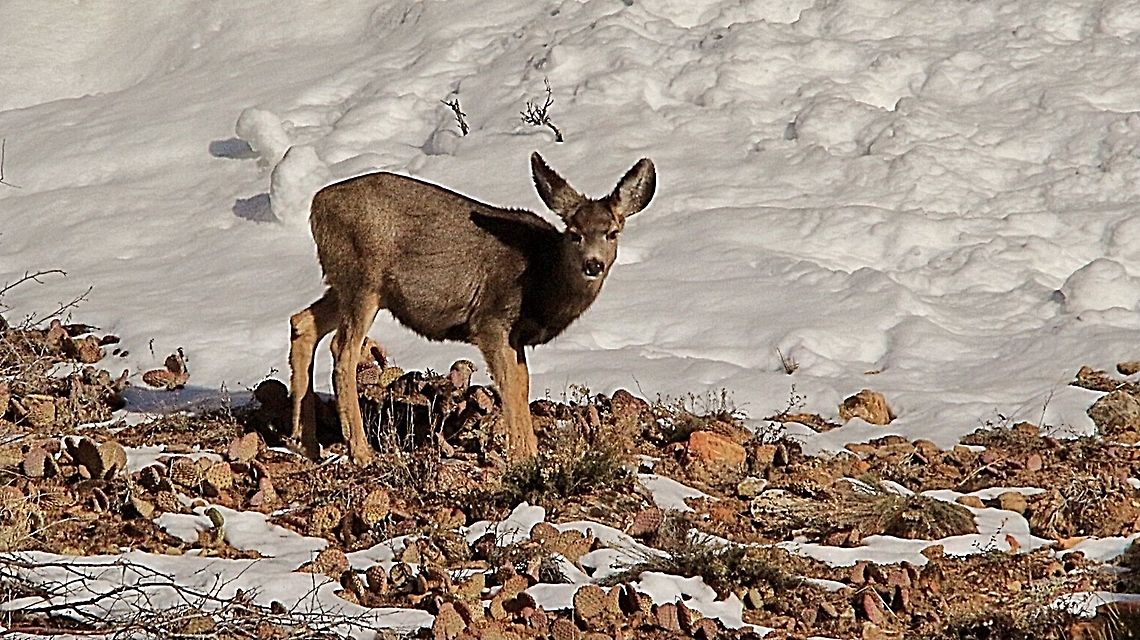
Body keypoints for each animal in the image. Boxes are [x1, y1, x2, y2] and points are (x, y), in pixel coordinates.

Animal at [288, 152, 656, 465]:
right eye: (575, 234)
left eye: (612, 232)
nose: (593, 264)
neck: (542, 277)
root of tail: (317, 205)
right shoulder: (490, 320)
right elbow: (509, 384)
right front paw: (521, 456)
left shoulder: (516, 336)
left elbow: (522, 384)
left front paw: (531, 451)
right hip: (362, 280)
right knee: (342, 349)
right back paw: (360, 452)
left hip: (349, 285)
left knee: (302, 322)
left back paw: (305, 442)